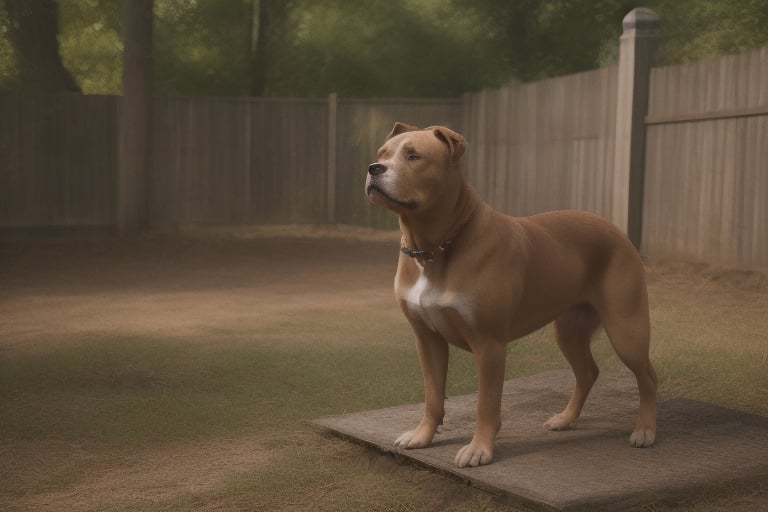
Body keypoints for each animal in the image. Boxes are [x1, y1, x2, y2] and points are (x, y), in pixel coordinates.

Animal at [364, 122, 656, 466]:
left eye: (413, 156)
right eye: (382, 154)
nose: (374, 168)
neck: (435, 248)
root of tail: (615, 229)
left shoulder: (489, 344)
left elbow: (486, 403)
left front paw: (479, 448)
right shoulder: (428, 339)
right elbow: (433, 395)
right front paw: (423, 435)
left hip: (627, 329)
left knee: (647, 376)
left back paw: (645, 430)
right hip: (570, 330)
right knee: (587, 372)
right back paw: (565, 419)